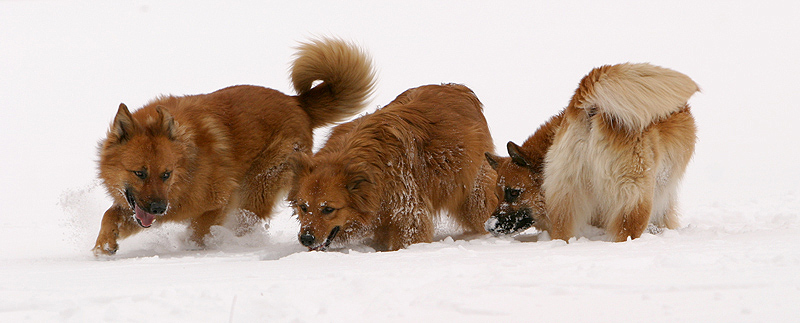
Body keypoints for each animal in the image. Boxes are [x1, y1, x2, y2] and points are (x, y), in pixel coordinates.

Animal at [93, 38, 376, 256]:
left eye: (166, 174)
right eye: (140, 173)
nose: (159, 208)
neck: (188, 166)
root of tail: (298, 103)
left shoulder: (219, 200)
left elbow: (198, 233)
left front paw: (196, 249)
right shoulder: (139, 207)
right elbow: (110, 214)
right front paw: (103, 245)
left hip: (256, 187)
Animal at [290, 83, 496, 251]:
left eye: (328, 209)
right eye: (303, 207)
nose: (306, 239)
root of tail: (458, 89)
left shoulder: (409, 215)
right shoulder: (382, 217)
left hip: (474, 195)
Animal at [484, 63, 696, 242]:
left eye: (513, 193)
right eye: (497, 194)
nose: (489, 226)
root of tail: (590, 108)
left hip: (566, 198)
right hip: (635, 197)